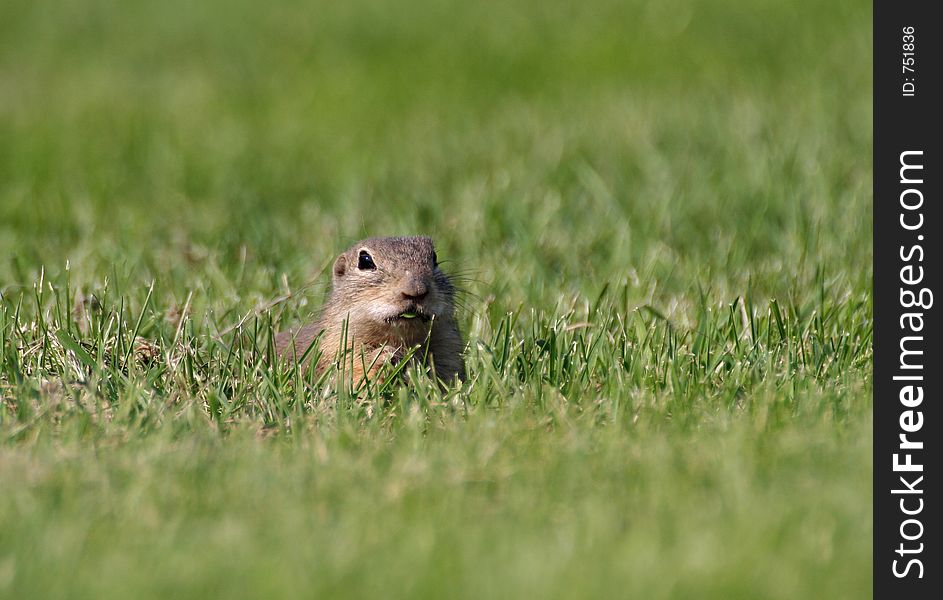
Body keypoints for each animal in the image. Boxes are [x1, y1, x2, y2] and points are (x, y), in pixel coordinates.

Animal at [274, 236, 466, 384]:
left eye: (434, 258)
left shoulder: (447, 348)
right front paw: (384, 356)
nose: (416, 289)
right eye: (365, 260)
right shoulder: (336, 347)